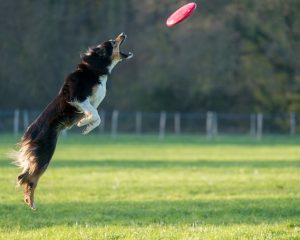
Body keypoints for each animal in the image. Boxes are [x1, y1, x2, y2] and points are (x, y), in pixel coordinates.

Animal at [12, 32, 132, 209]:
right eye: (112, 42)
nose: (122, 34)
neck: (95, 69)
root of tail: (29, 132)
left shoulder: (89, 103)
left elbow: (97, 118)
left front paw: (85, 125)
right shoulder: (78, 97)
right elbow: (96, 115)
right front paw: (84, 124)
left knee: (26, 177)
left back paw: (30, 202)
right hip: (45, 154)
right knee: (27, 178)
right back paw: (31, 202)